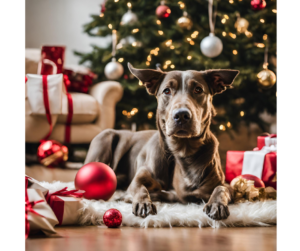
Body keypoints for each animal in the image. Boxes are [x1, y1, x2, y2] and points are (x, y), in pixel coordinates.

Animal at [84, 62, 239, 220]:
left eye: (198, 89)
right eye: (167, 91)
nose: (181, 115)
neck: (182, 149)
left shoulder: (224, 185)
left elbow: (221, 188)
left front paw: (216, 204)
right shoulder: (138, 179)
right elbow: (140, 188)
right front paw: (143, 203)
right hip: (105, 137)